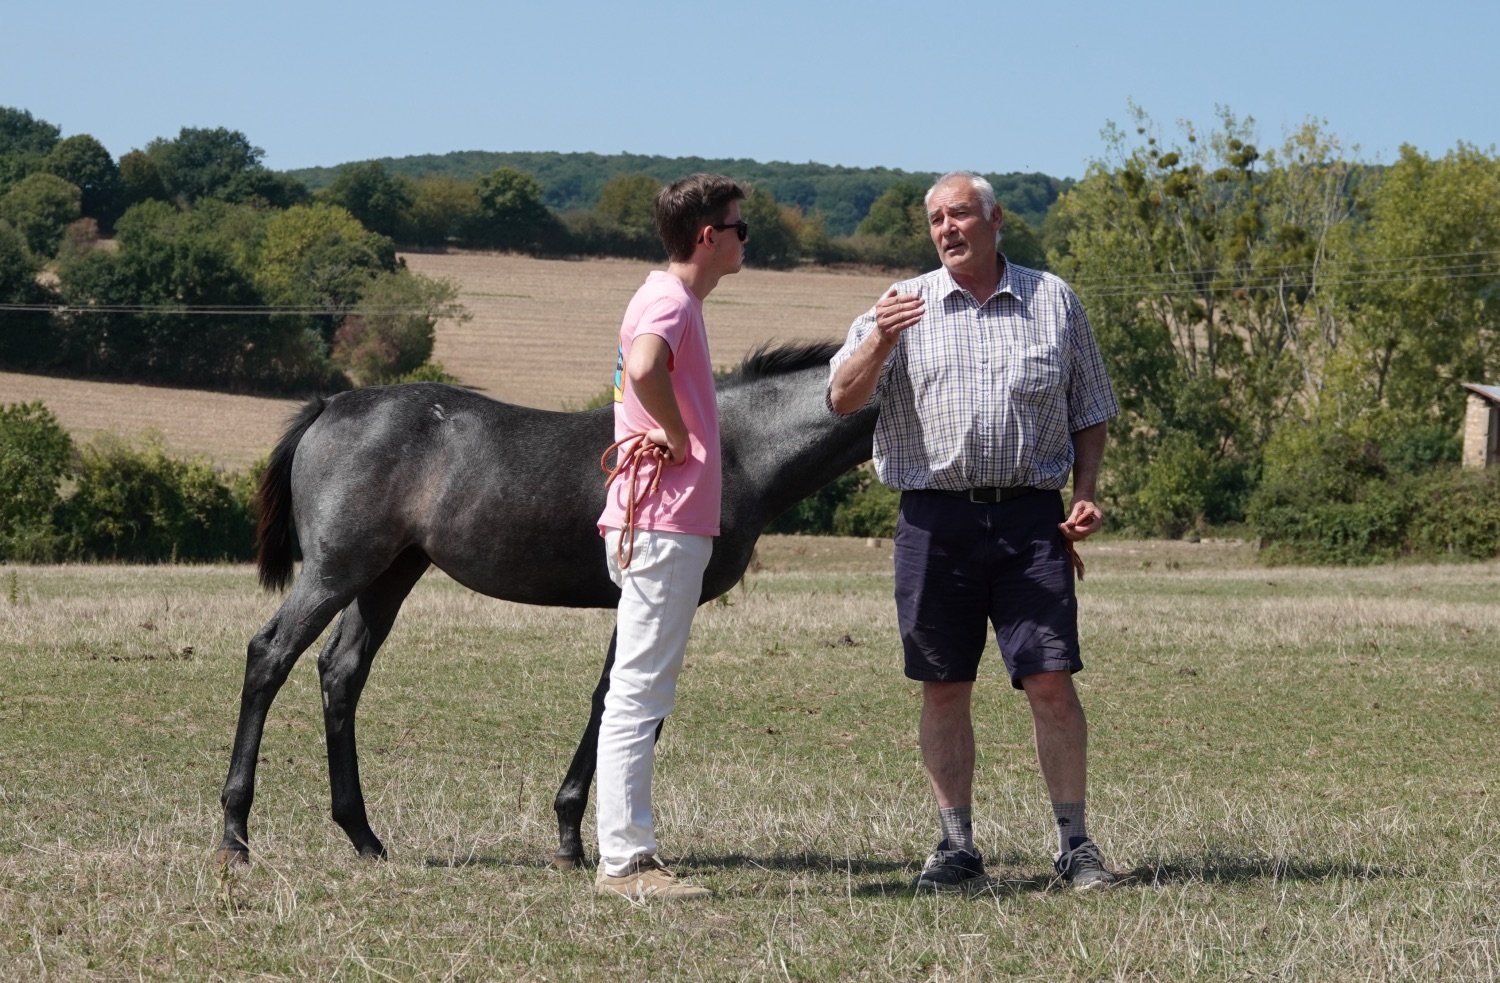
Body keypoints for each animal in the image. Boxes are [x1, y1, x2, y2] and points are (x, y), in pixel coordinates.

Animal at [215, 340, 878, 867]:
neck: (729, 448)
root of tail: (330, 406)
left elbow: (621, 697)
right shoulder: (661, 595)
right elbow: (626, 699)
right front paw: (583, 839)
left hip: (387, 575)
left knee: (341, 672)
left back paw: (363, 836)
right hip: (336, 571)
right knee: (270, 655)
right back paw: (234, 833)